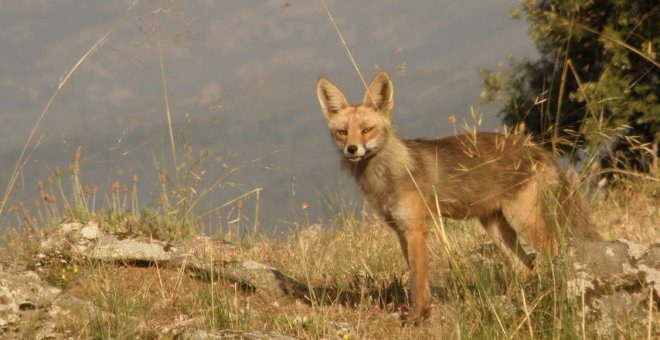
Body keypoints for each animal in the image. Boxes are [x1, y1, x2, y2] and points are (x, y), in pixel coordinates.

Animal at [318, 71, 600, 318]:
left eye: (367, 130)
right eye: (342, 132)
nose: (352, 149)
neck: (389, 172)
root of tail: (536, 148)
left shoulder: (416, 229)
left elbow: (416, 281)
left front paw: (417, 317)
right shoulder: (401, 231)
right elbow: (417, 278)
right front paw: (423, 312)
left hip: (525, 221)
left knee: (552, 255)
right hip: (495, 228)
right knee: (526, 268)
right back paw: (515, 301)